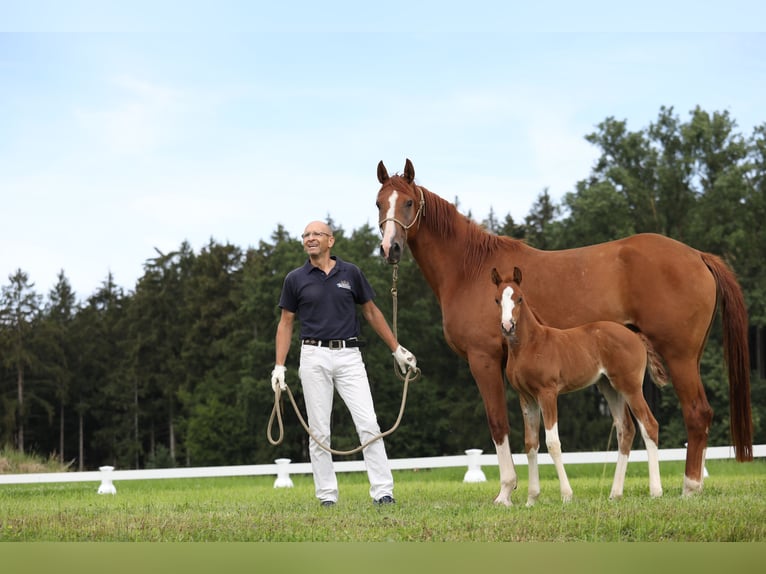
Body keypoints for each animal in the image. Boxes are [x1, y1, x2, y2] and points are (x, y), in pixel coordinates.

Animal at [496, 268, 668, 506]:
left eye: (519, 298)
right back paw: (615, 493)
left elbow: (553, 442)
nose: (507, 326)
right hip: (609, 388)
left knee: (649, 425)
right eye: (497, 300)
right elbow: (530, 444)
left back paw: (656, 490)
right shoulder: (527, 397)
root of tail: (635, 336)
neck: (530, 345)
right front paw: (532, 499)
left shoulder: (547, 393)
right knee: (626, 429)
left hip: (630, 386)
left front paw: (566, 495)